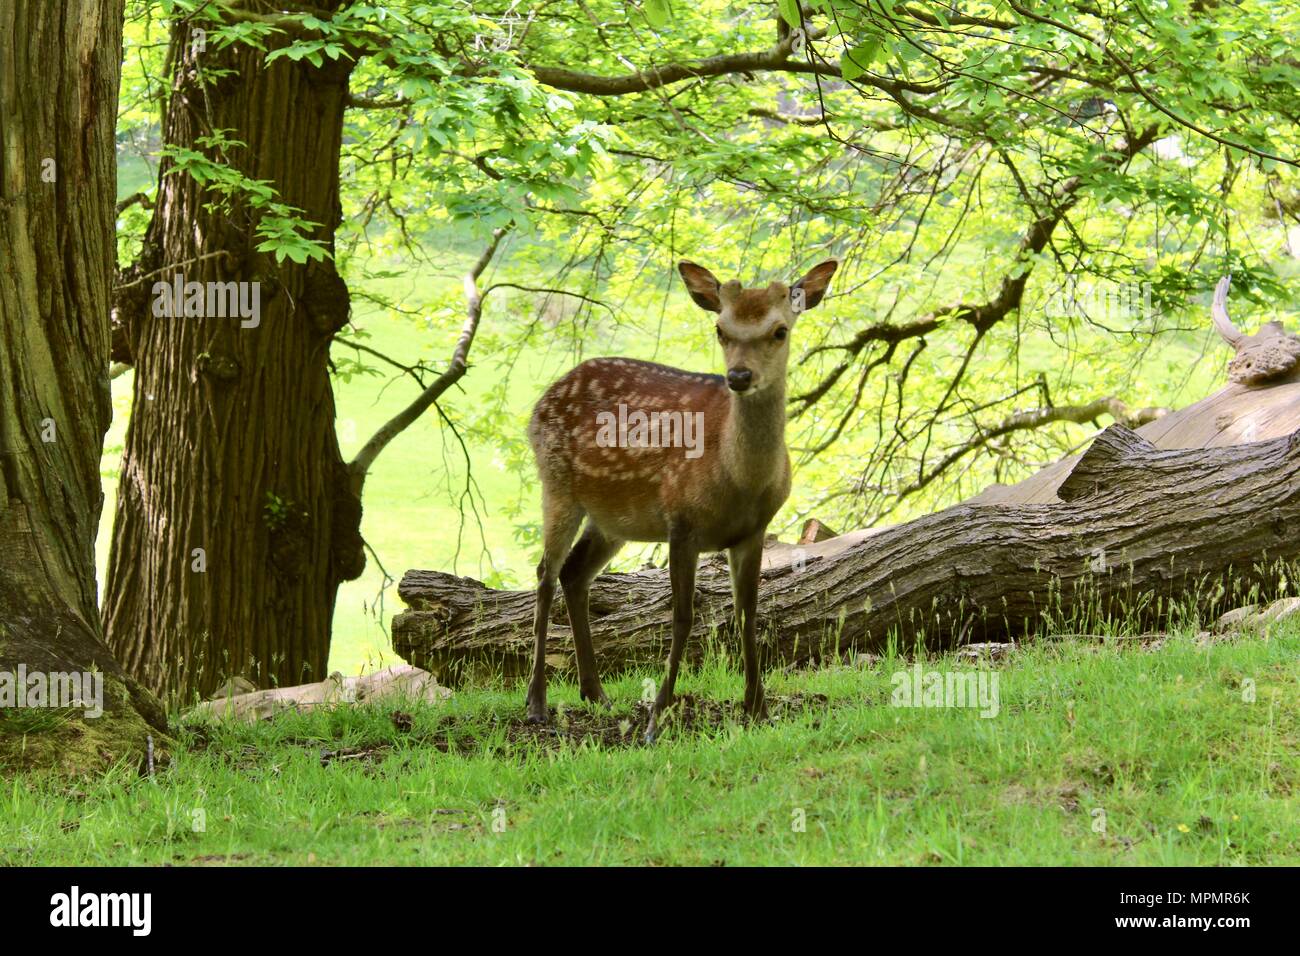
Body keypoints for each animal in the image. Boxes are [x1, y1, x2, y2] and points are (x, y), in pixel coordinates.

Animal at [522, 257, 837, 743]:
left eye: (780, 330)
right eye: (721, 329)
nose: (739, 377)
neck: (741, 481)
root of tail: (541, 401)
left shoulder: (753, 531)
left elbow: (749, 613)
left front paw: (758, 709)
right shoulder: (681, 520)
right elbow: (683, 616)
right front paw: (655, 720)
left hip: (613, 518)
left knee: (574, 574)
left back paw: (595, 694)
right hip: (556, 484)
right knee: (545, 574)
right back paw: (537, 703)